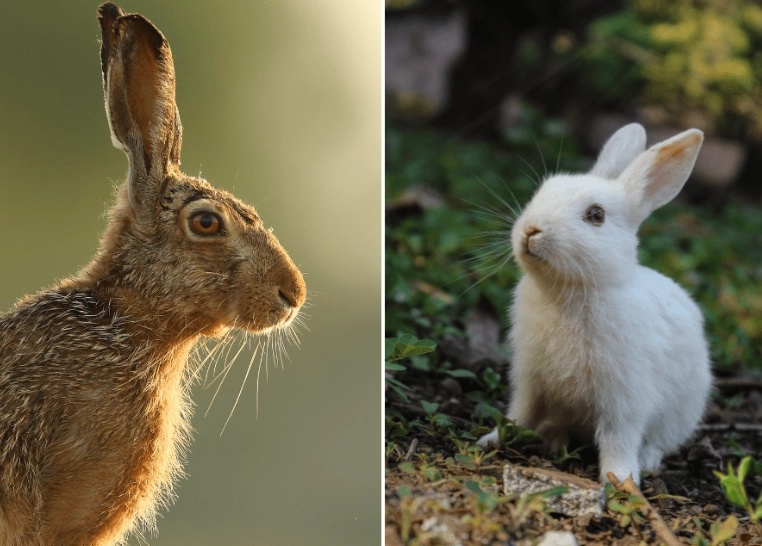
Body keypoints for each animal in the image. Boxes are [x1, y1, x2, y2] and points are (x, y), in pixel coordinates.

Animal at [477, 123, 712, 486]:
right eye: (542, 192)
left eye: (596, 215)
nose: (531, 230)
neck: (572, 289)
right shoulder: (530, 380)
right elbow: (519, 414)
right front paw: (491, 440)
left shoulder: (624, 398)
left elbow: (619, 438)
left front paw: (621, 480)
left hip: (681, 413)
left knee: (658, 442)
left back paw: (646, 461)